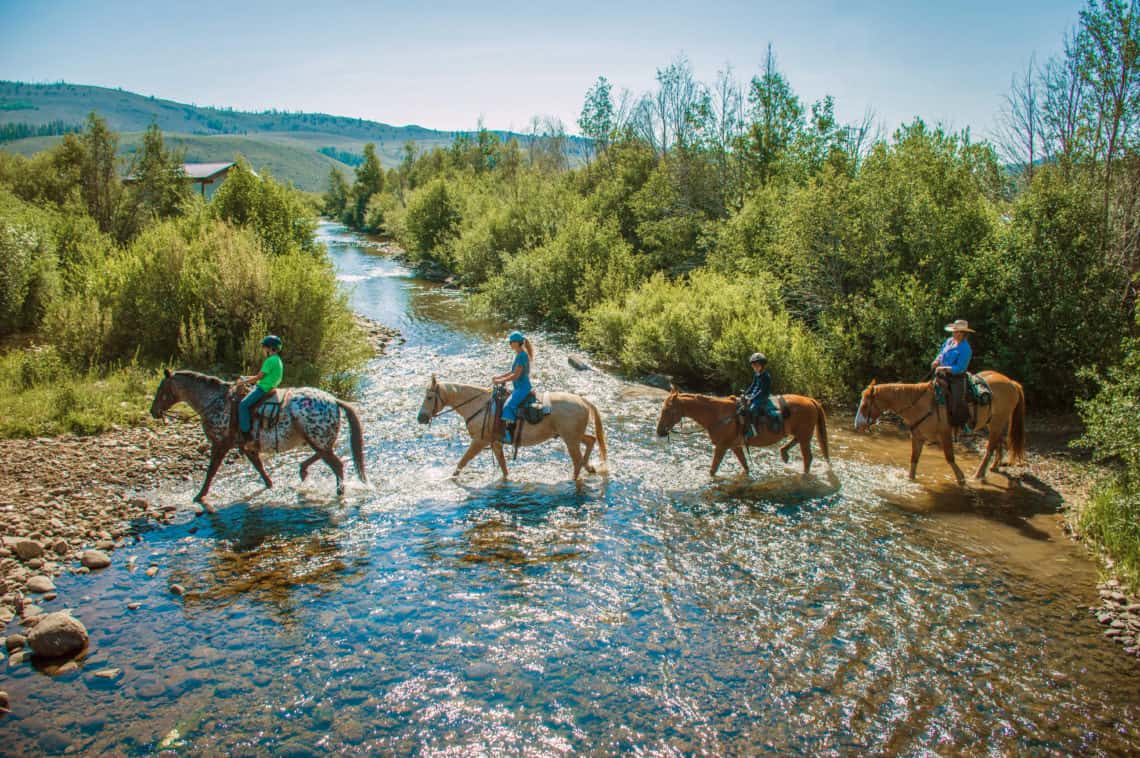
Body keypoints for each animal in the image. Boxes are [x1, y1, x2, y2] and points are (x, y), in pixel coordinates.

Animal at [149, 367, 367, 508]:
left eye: (161, 389)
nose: (153, 412)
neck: (215, 402)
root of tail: (334, 400)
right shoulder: (247, 446)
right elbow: (259, 467)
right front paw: (270, 485)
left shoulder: (220, 444)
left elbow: (211, 471)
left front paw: (199, 496)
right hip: (317, 440)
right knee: (324, 457)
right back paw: (304, 471)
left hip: (317, 439)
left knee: (336, 464)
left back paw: (339, 493)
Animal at [412, 373, 606, 478]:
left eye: (429, 397)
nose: (421, 417)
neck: (479, 405)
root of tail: (583, 400)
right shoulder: (495, 443)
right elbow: (503, 467)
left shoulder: (479, 442)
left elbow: (463, 461)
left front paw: (450, 478)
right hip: (573, 437)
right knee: (591, 440)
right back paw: (590, 467)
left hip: (570, 440)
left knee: (577, 460)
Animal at [656, 387, 834, 476]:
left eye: (667, 410)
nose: (659, 432)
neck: (717, 414)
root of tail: (810, 400)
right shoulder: (735, 446)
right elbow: (745, 466)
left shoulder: (722, 447)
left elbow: (713, 470)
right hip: (803, 434)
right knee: (795, 442)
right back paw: (784, 453)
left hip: (805, 435)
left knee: (808, 458)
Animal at [852, 369, 1030, 481]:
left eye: (865, 405)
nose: (857, 426)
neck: (919, 404)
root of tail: (1012, 382)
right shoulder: (918, 437)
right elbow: (914, 459)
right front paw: (911, 480)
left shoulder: (944, 434)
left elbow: (949, 457)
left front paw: (961, 479)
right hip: (994, 423)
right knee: (999, 443)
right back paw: (993, 467)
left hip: (998, 422)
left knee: (990, 448)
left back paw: (978, 475)